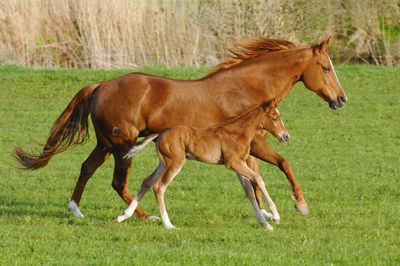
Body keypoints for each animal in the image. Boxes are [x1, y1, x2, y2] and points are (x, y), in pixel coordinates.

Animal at [115, 101, 288, 230]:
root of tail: (161, 134)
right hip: (175, 163)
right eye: (274, 118)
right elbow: (258, 179)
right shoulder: (233, 163)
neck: (238, 132)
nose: (286, 136)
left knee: (147, 182)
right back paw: (169, 225)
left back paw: (123, 216)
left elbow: (249, 192)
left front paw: (265, 224)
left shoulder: (239, 167)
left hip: (163, 163)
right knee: (159, 187)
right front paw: (275, 215)